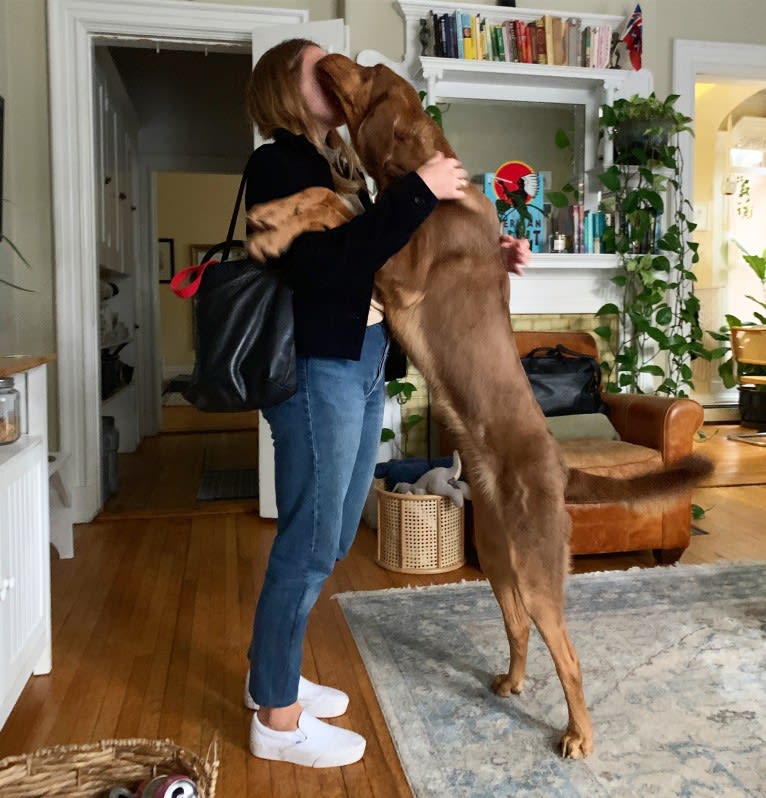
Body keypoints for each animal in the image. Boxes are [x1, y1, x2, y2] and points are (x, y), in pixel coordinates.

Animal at [244, 53, 712, 760]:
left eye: (365, 73)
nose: (326, 58)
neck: (422, 177)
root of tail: (557, 466)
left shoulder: (397, 268)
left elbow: (337, 201)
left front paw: (276, 225)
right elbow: (337, 198)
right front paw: (270, 216)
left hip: (539, 568)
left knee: (568, 655)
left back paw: (578, 735)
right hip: (496, 557)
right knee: (517, 626)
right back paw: (512, 683)